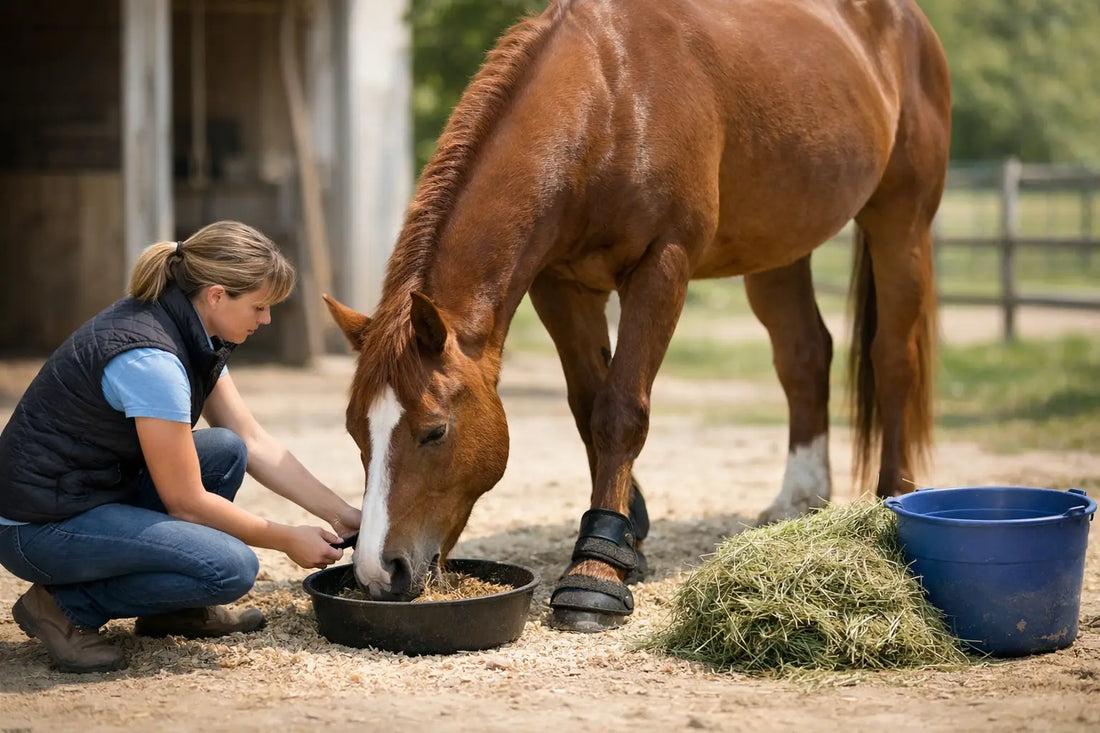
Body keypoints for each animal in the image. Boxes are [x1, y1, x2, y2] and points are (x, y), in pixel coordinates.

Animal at [323, 0, 950, 632]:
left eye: (435, 431)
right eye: (355, 431)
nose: (379, 572)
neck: (612, 97)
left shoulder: (661, 265)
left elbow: (621, 410)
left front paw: (594, 574)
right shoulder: (561, 283)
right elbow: (587, 407)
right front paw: (630, 536)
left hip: (901, 221)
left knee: (894, 358)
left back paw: (892, 502)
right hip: (778, 247)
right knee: (804, 356)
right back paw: (799, 499)